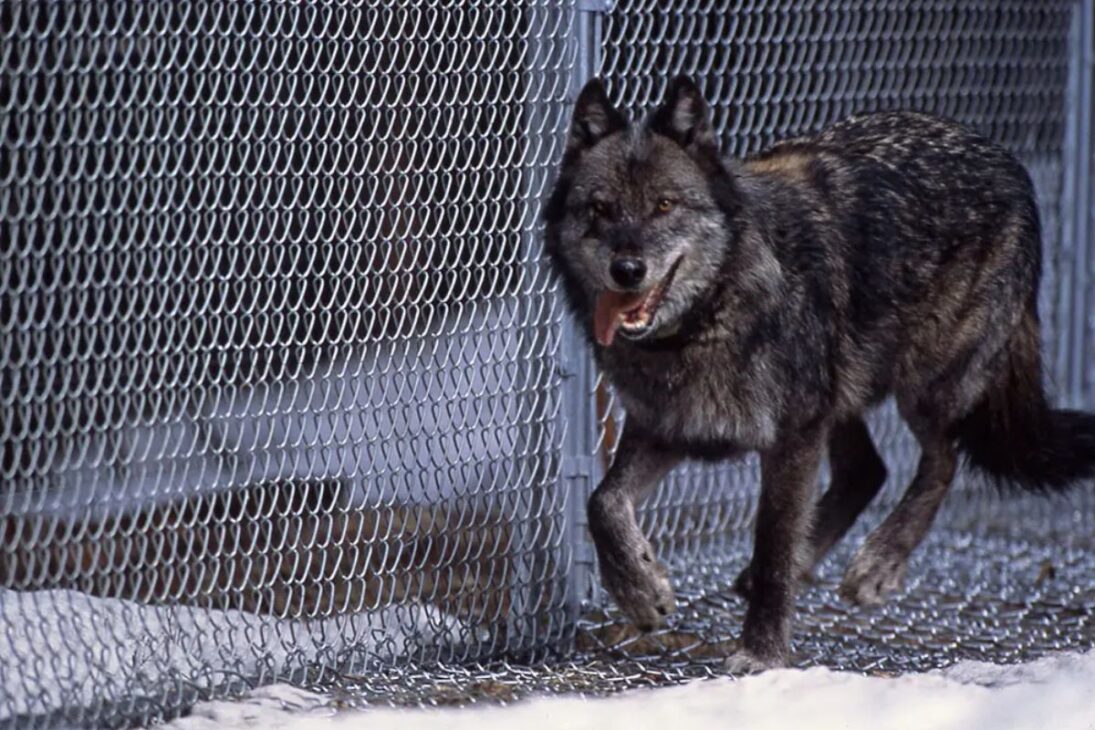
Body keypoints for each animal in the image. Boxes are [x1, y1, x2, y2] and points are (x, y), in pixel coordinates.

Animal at [542, 76, 1095, 672]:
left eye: (664, 204)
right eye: (600, 208)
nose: (627, 270)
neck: (711, 314)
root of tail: (1006, 160)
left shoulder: (792, 438)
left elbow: (772, 544)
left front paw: (761, 654)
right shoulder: (667, 426)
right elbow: (602, 504)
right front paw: (641, 592)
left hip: (923, 385)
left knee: (941, 460)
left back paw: (878, 563)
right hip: (842, 392)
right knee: (868, 469)